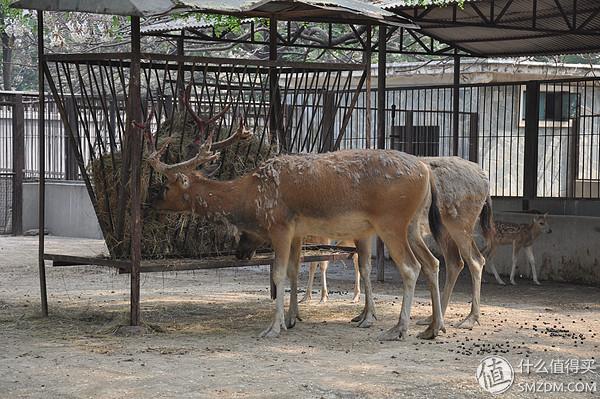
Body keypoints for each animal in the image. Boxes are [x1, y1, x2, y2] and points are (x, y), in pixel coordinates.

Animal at [141, 86, 448, 340]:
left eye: (165, 185)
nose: (150, 201)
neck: (251, 195)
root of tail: (425, 171)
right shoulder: (298, 231)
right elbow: (292, 271)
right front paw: (291, 319)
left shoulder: (280, 225)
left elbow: (278, 274)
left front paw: (273, 328)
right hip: (412, 224)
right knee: (432, 262)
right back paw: (433, 328)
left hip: (391, 221)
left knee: (411, 267)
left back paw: (400, 328)